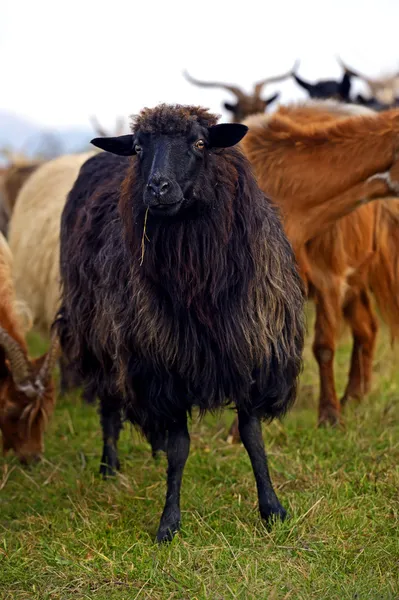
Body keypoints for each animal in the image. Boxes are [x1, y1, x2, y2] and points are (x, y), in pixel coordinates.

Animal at [228, 102, 399, 440]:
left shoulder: (329, 276)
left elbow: (323, 346)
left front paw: (330, 416)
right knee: (366, 326)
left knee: (365, 328)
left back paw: (352, 397)